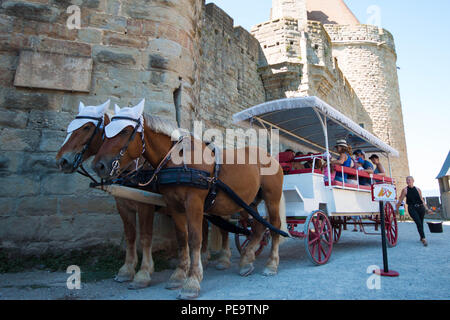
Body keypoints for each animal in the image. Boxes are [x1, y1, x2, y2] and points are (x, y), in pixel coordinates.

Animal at [55, 100, 232, 290]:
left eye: (87, 127)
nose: (62, 161)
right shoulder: (123, 205)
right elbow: (131, 236)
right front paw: (126, 270)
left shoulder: (145, 205)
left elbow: (146, 237)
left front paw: (143, 273)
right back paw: (204, 258)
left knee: (224, 229)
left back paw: (224, 258)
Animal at [92, 100, 288, 300]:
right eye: (105, 131)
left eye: (125, 131)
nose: (99, 165)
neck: (178, 161)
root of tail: (270, 157)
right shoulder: (174, 205)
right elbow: (182, 238)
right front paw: (179, 275)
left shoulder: (193, 203)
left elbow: (195, 239)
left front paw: (192, 281)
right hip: (247, 202)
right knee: (258, 227)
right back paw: (247, 260)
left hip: (271, 198)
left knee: (274, 226)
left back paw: (271, 264)